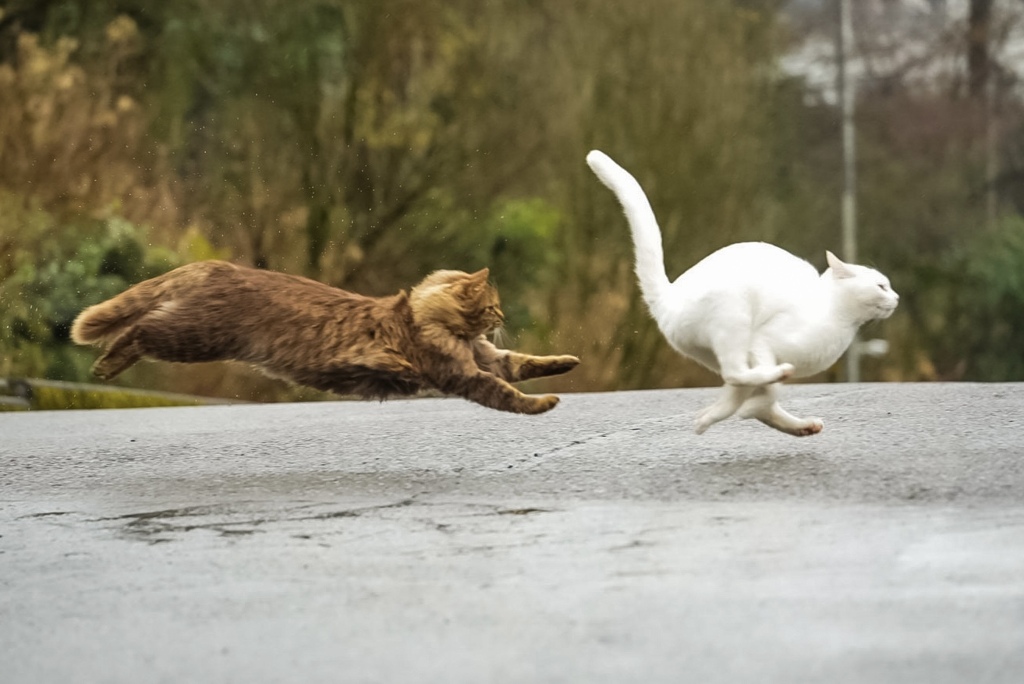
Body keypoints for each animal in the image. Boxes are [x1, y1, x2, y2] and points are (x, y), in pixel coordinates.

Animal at [70, 260, 585, 411]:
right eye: (494, 306)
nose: (504, 314)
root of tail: (214, 265)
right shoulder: (462, 374)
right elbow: (508, 393)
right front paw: (544, 403)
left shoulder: (489, 358)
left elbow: (526, 363)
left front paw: (568, 362)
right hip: (192, 336)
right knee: (136, 331)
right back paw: (103, 366)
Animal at [589, 150, 901, 438]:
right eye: (881, 286)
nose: (897, 298)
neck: (838, 317)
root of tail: (668, 295)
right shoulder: (762, 341)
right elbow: (765, 392)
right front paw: (752, 405)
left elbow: (757, 399)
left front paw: (723, 414)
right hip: (733, 320)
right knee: (737, 373)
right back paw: (775, 382)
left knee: (737, 385)